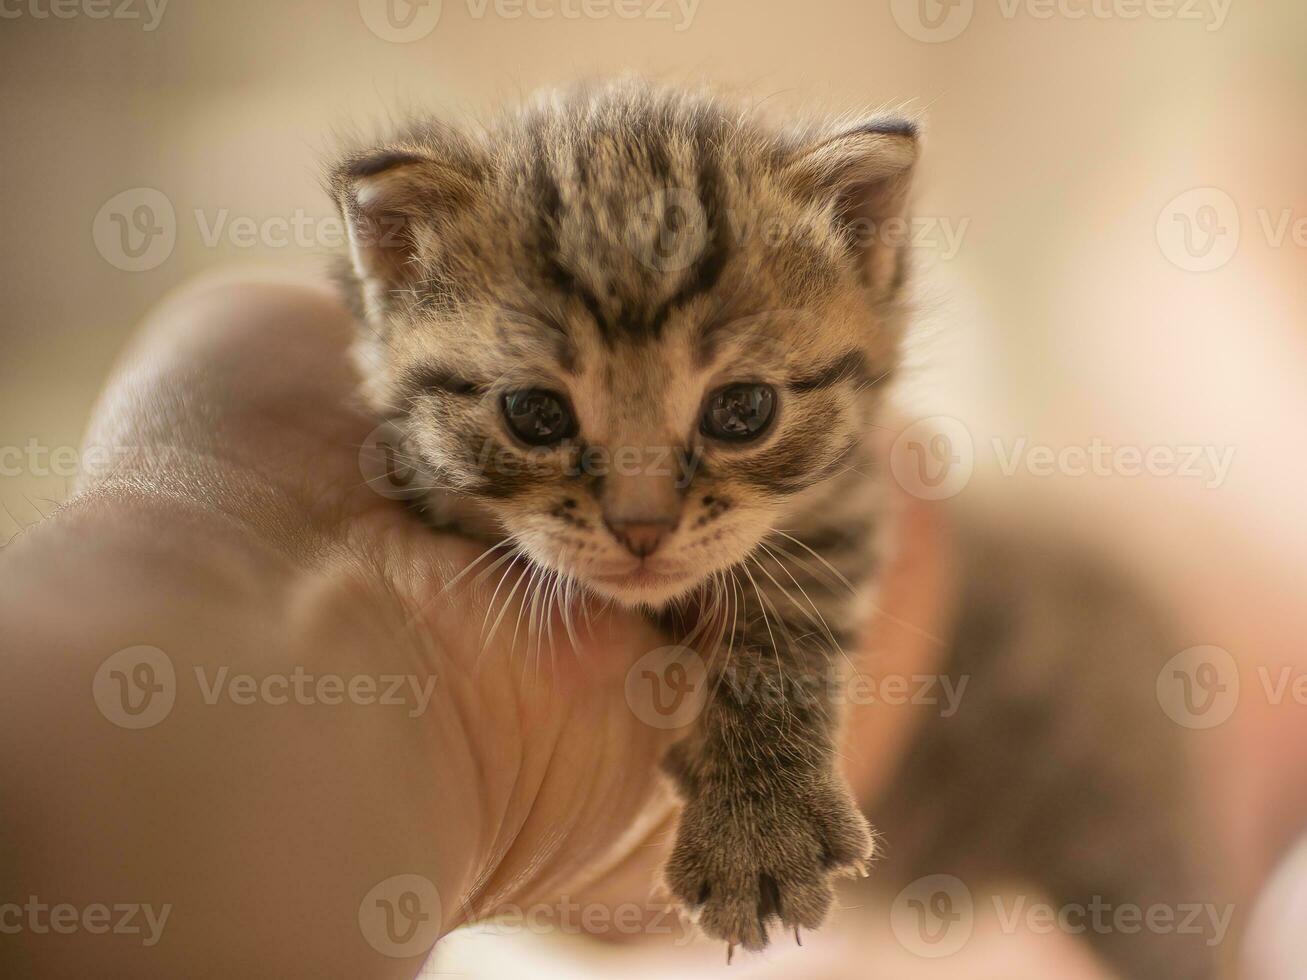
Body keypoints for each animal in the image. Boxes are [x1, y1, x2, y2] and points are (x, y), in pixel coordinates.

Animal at [331, 80, 925, 956]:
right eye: (533, 413)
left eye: (743, 410)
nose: (641, 530)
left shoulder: (843, 497)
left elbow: (785, 614)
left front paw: (761, 824)